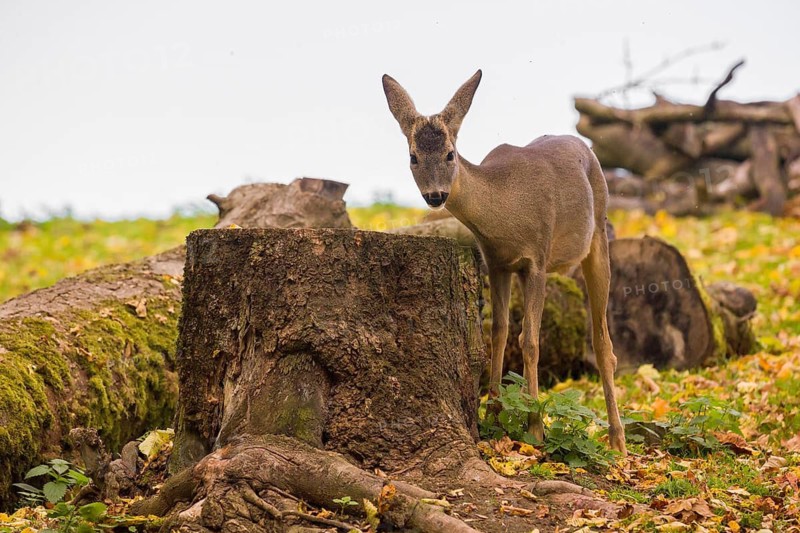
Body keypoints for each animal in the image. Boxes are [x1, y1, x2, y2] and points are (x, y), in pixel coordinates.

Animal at [382, 69, 627, 455]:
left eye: (450, 154)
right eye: (413, 157)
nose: (435, 195)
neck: (505, 210)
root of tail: (586, 147)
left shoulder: (536, 260)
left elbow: (531, 341)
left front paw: (535, 428)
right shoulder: (496, 264)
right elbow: (498, 333)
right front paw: (493, 415)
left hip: (599, 235)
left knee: (603, 342)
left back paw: (617, 440)